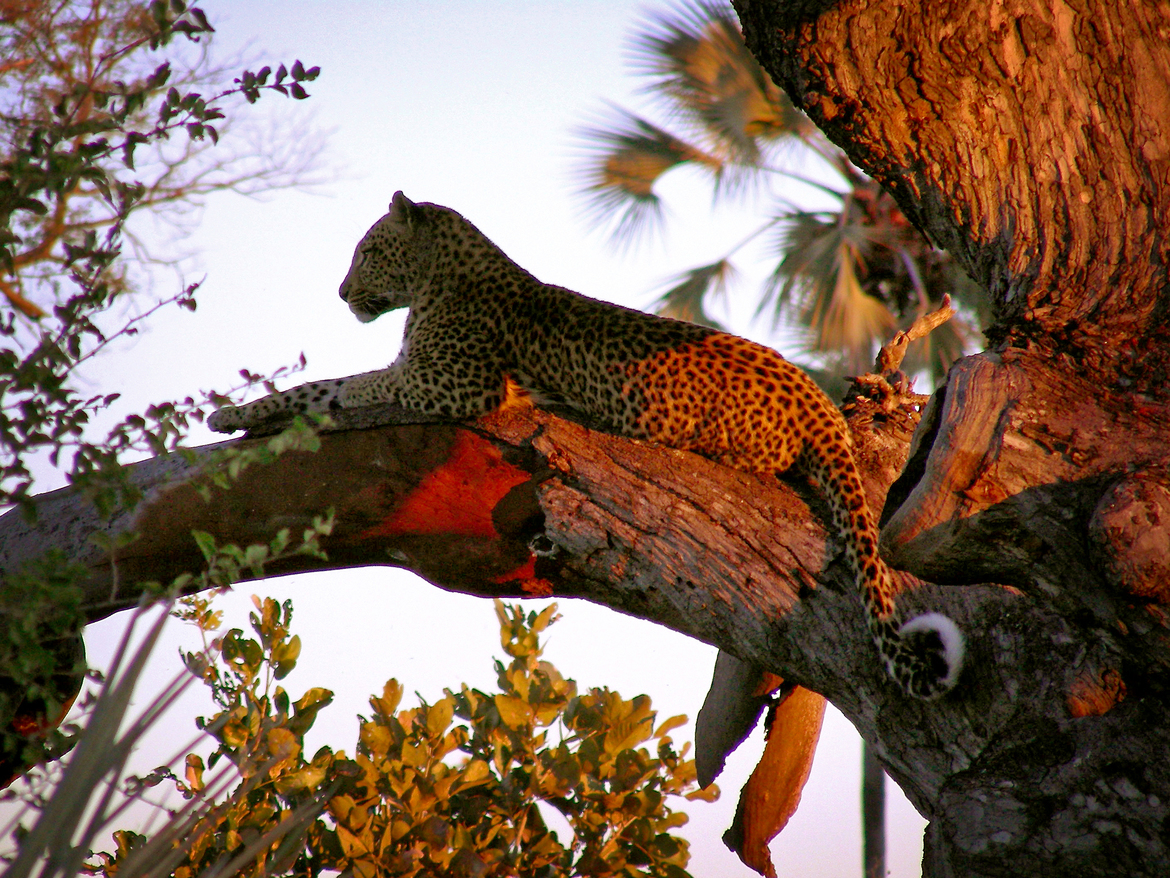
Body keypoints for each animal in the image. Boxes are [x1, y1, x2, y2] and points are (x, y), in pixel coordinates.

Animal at [208, 191, 965, 699]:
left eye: (368, 251)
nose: (343, 293)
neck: (440, 280)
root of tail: (818, 401)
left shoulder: (448, 386)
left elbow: (336, 387)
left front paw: (246, 412)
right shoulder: (424, 377)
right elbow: (331, 386)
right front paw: (239, 413)